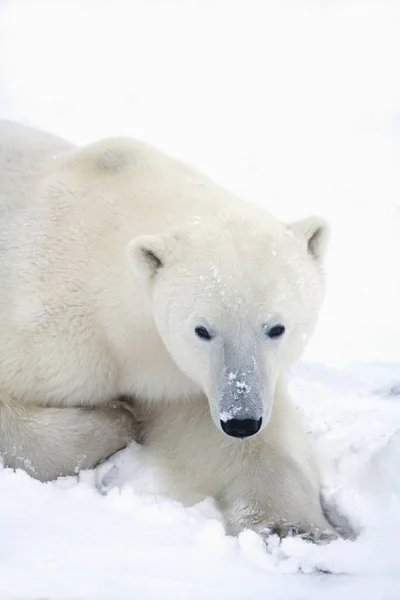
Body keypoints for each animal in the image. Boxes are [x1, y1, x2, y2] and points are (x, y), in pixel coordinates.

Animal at [0, 120, 332, 540]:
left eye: (276, 328)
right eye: (203, 330)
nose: (241, 420)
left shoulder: (184, 375)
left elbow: (226, 434)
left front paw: (293, 527)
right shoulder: (48, 326)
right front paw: (119, 416)